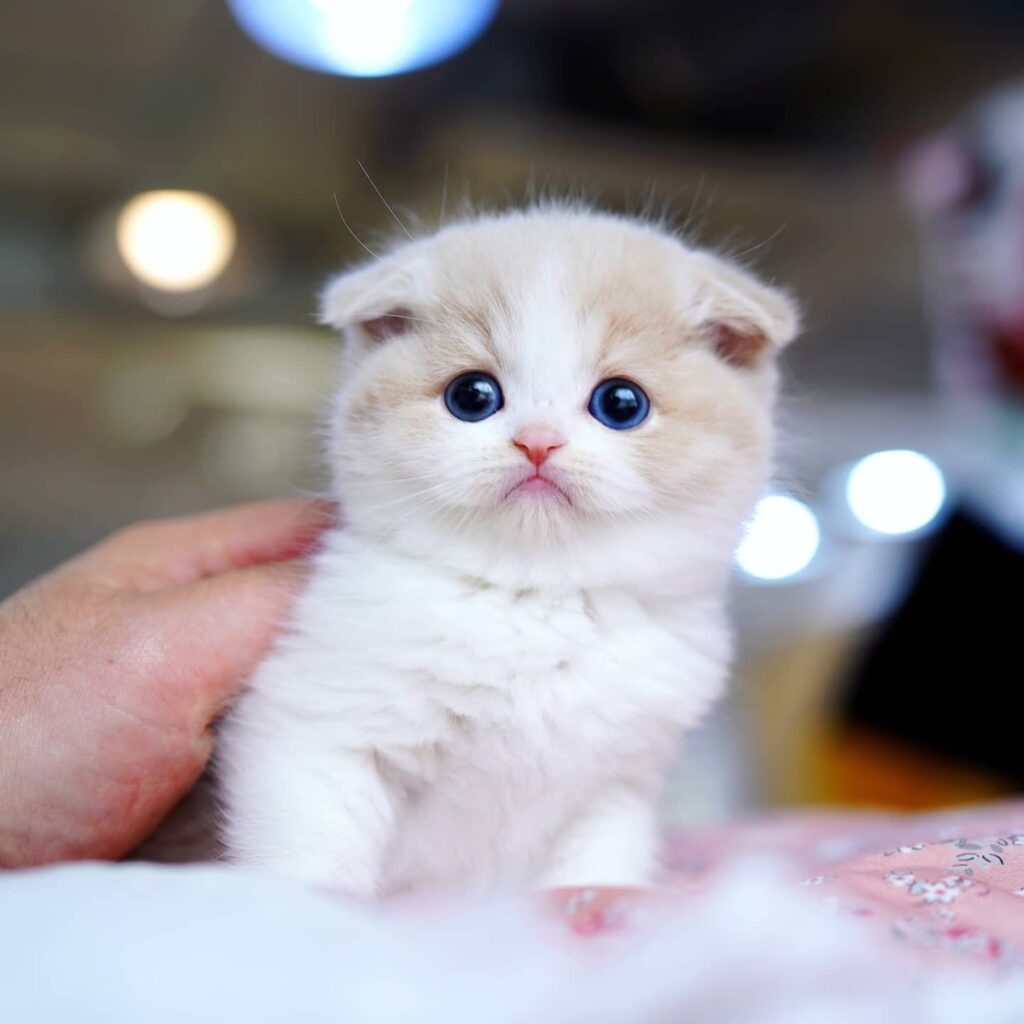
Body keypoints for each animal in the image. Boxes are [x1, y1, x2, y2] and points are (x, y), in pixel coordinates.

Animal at [218, 207, 798, 897]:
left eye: (621, 404)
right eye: (472, 396)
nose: (538, 441)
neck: (536, 597)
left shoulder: (617, 785)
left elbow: (597, 869)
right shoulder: (316, 726)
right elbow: (310, 860)